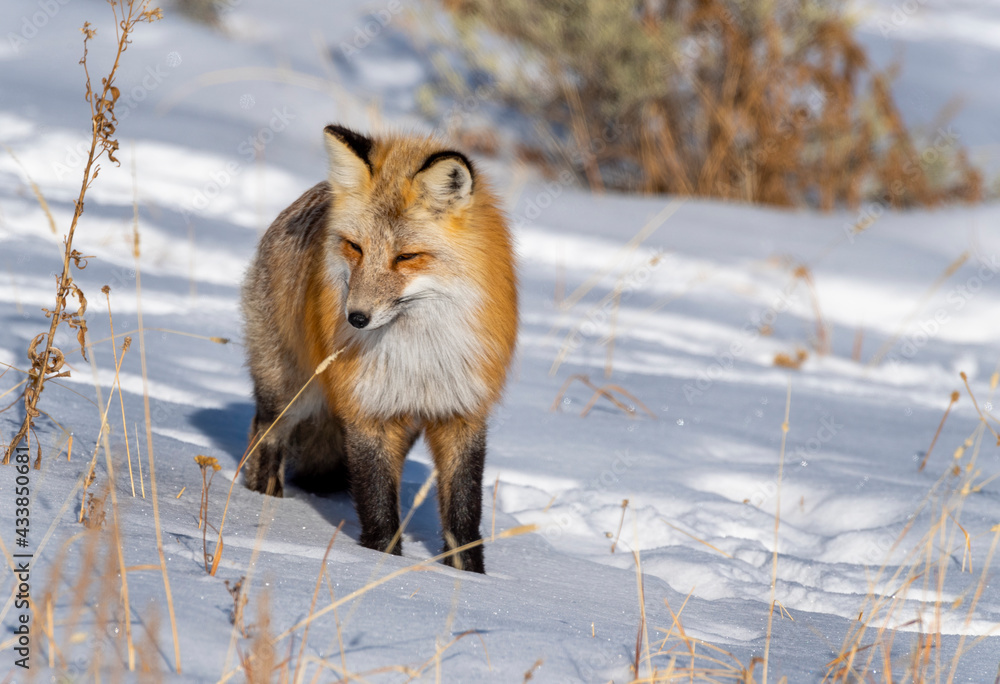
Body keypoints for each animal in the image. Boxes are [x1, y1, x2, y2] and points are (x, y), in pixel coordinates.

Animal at [240, 125, 518, 573]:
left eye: (406, 257)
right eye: (355, 248)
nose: (355, 318)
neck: (419, 355)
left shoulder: (462, 412)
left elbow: (463, 517)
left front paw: (470, 578)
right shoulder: (366, 411)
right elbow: (377, 507)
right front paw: (380, 564)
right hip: (289, 392)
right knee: (264, 438)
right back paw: (264, 502)